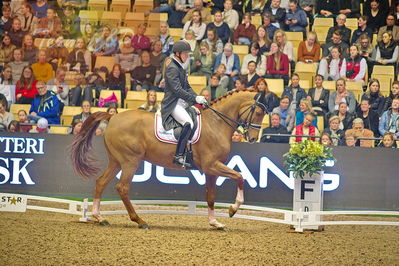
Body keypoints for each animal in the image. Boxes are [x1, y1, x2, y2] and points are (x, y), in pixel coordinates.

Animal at [70, 89, 268, 229]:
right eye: (258, 112)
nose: (252, 139)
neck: (215, 124)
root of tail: (113, 117)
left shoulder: (211, 170)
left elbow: (211, 196)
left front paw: (215, 223)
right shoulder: (213, 166)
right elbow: (240, 177)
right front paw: (233, 209)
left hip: (116, 161)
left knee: (101, 182)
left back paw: (99, 217)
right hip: (130, 161)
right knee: (122, 187)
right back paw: (140, 221)